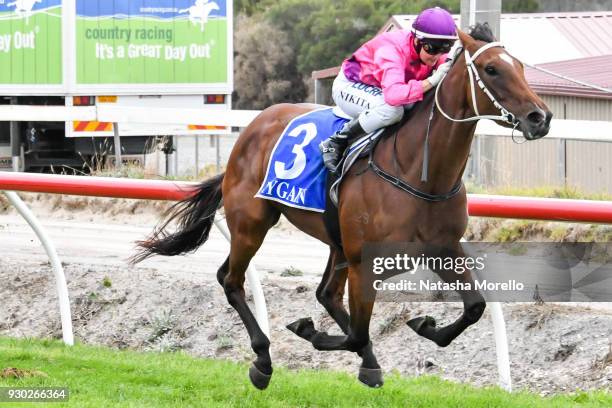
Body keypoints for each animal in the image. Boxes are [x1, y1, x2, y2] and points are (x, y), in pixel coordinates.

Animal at [131, 24, 552, 388]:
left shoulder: (442, 248)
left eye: (520, 66)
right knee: (231, 281)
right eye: (492, 69)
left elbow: (475, 306)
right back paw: (263, 360)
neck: (420, 173)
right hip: (251, 223)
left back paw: (366, 362)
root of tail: (253, 127)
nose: (540, 117)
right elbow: (356, 333)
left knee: (324, 294)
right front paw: (311, 332)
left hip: (334, 240)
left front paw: (426, 327)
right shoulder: (366, 260)